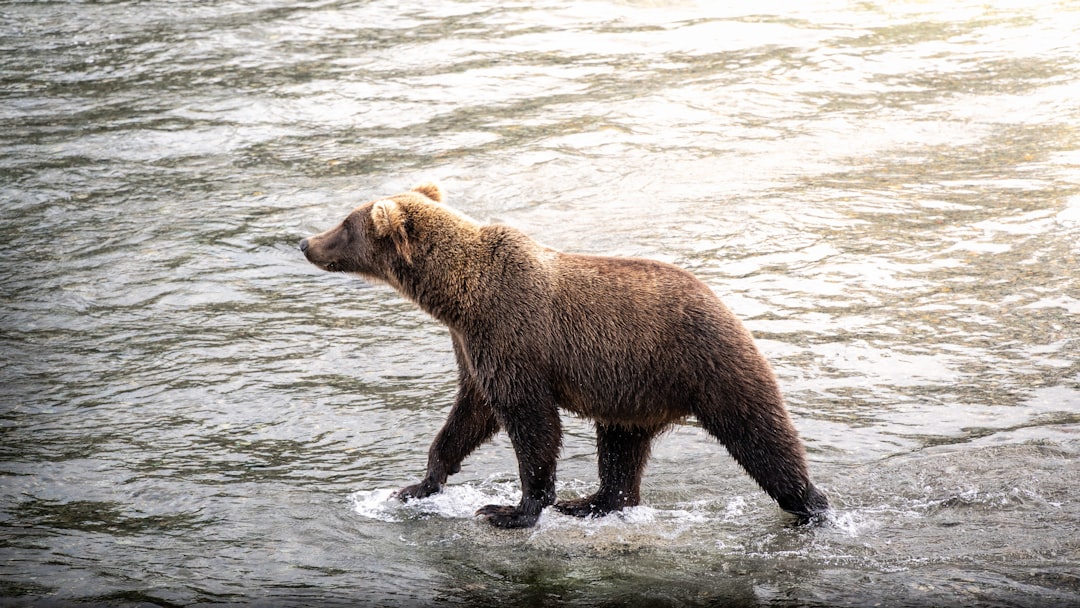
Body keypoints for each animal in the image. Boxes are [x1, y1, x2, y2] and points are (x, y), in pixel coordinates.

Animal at [300, 183, 829, 529]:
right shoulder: (471, 345)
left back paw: (811, 504)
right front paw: (418, 484)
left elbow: (530, 421)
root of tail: (726, 306)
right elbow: (469, 414)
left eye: (345, 224)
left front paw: (511, 509)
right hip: (632, 390)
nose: (305, 242)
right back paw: (593, 501)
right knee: (620, 446)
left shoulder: (510, 333)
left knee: (759, 434)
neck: (457, 297)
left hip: (704, 361)